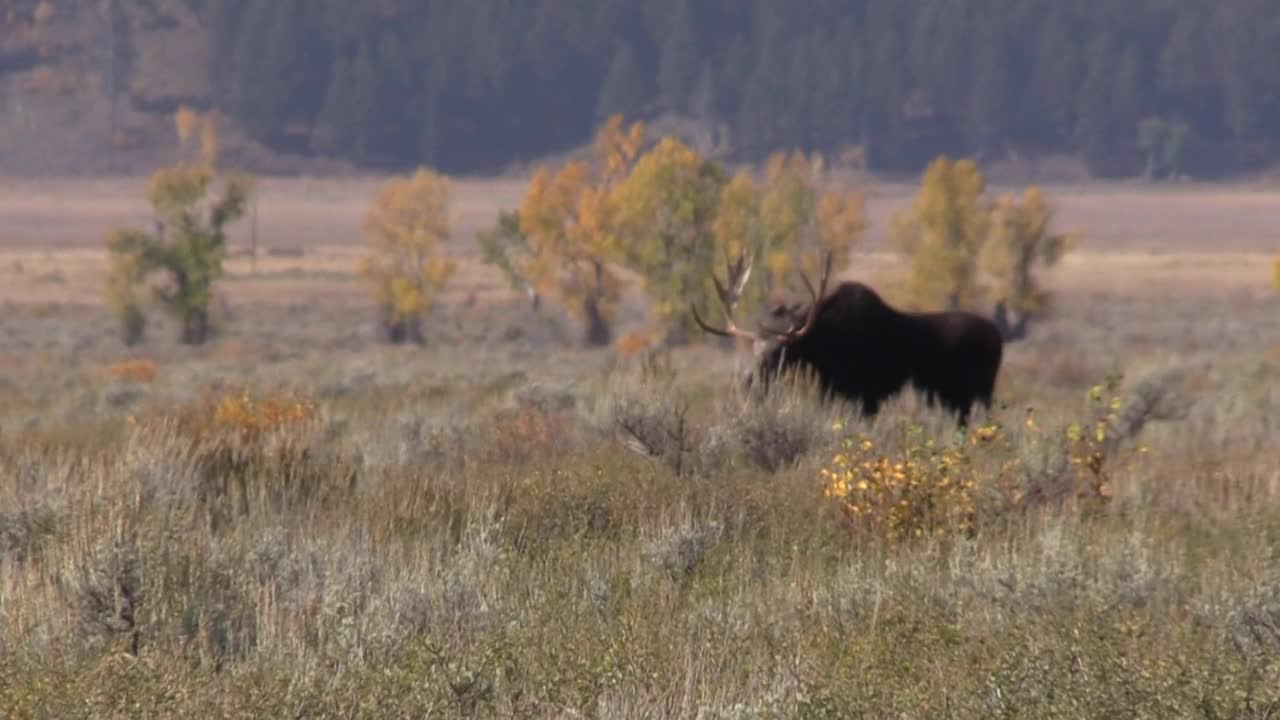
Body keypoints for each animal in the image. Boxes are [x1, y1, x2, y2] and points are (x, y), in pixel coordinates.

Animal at [696, 251, 1003, 422]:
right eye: (754, 347)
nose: (750, 381)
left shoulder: (869, 396)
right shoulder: (830, 392)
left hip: (981, 392)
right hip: (959, 400)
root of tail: (998, 337)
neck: (827, 351)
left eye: (781, 349)